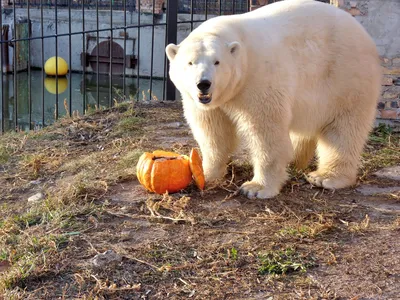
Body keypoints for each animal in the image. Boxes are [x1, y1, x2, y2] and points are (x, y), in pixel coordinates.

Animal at [165, 0, 382, 199]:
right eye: (190, 62)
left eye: (217, 62)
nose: (203, 84)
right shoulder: (206, 103)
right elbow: (214, 132)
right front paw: (207, 173)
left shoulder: (258, 80)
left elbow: (265, 131)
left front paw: (256, 188)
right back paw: (296, 160)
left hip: (345, 77)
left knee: (343, 128)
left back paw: (326, 177)